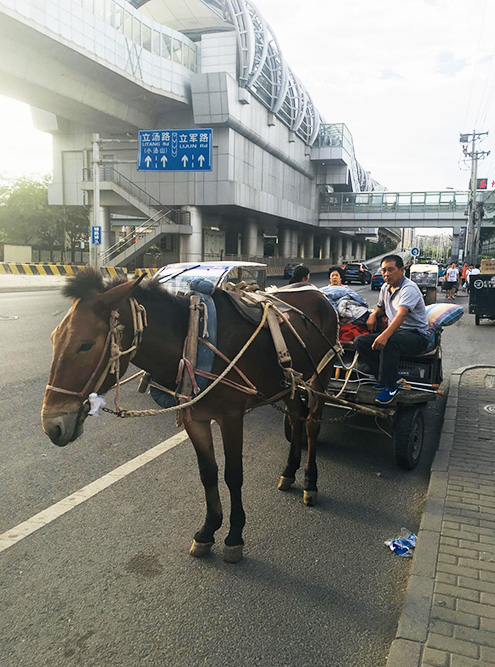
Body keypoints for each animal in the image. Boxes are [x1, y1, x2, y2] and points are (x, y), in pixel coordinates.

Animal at [40, 268, 340, 560]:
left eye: (85, 345)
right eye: (53, 338)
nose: (51, 426)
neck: (194, 340)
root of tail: (321, 295)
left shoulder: (232, 416)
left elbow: (233, 474)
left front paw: (234, 536)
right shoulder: (194, 417)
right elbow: (207, 472)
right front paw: (208, 531)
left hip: (320, 376)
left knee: (311, 425)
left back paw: (310, 482)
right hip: (289, 382)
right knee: (296, 417)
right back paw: (289, 472)